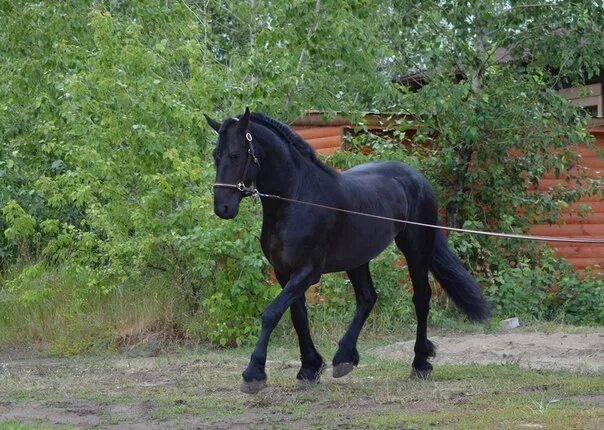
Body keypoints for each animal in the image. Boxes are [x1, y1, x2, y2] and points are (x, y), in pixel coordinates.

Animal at [205, 107, 488, 394]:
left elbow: (271, 313)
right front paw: (309, 367)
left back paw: (420, 362)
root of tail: (416, 177)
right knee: (367, 298)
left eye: (235, 155)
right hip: (358, 258)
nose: (223, 208)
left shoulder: (307, 272)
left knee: (421, 298)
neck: (299, 198)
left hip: (415, 247)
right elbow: (298, 316)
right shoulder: (285, 273)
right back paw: (344, 358)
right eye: (216, 156)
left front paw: (254, 373)